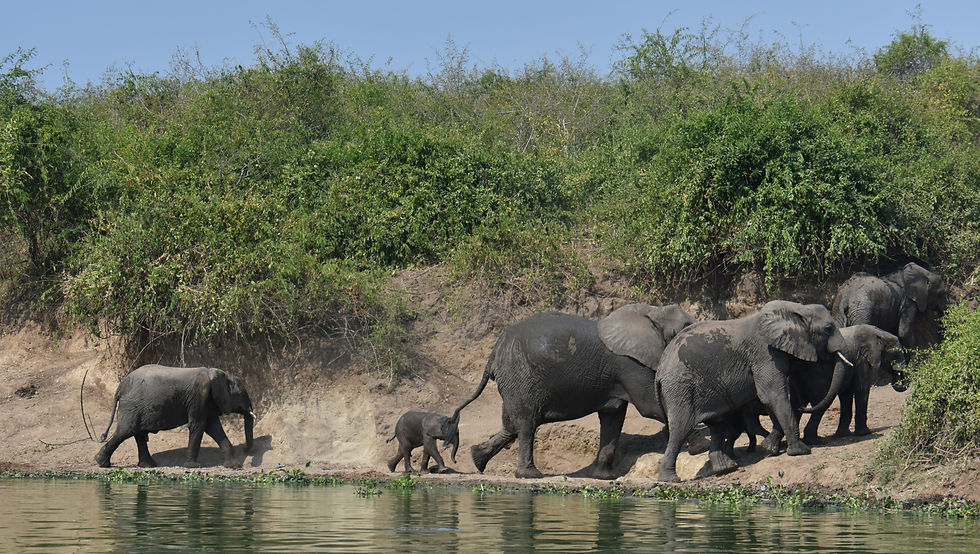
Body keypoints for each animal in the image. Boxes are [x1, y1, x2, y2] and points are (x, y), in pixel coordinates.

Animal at [95, 364, 255, 469]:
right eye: (242, 394)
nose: (246, 450)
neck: (215, 373)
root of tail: (120, 387)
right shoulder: (199, 396)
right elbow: (198, 426)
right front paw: (193, 466)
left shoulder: (207, 401)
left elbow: (214, 428)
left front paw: (234, 466)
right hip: (132, 405)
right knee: (125, 431)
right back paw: (101, 463)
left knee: (137, 433)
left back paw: (148, 466)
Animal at [452, 304, 698, 479]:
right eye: (686, 326)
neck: (653, 313)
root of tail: (494, 352)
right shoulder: (629, 363)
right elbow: (650, 406)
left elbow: (613, 418)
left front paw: (604, 478)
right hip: (520, 377)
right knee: (526, 425)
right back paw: (529, 475)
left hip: (513, 382)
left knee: (512, 425)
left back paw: (477, 458)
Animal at [655, 301, 851, 482]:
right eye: (828, 328)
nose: (804, 406)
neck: (797, 309)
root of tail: (660, 370)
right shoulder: (765, 353)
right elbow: (772, 395)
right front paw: (800, 451)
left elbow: (771, 398)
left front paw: (770, 448)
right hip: (680, 388)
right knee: (681, 429)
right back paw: (670, 479)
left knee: (717, 426)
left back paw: (727, 468)